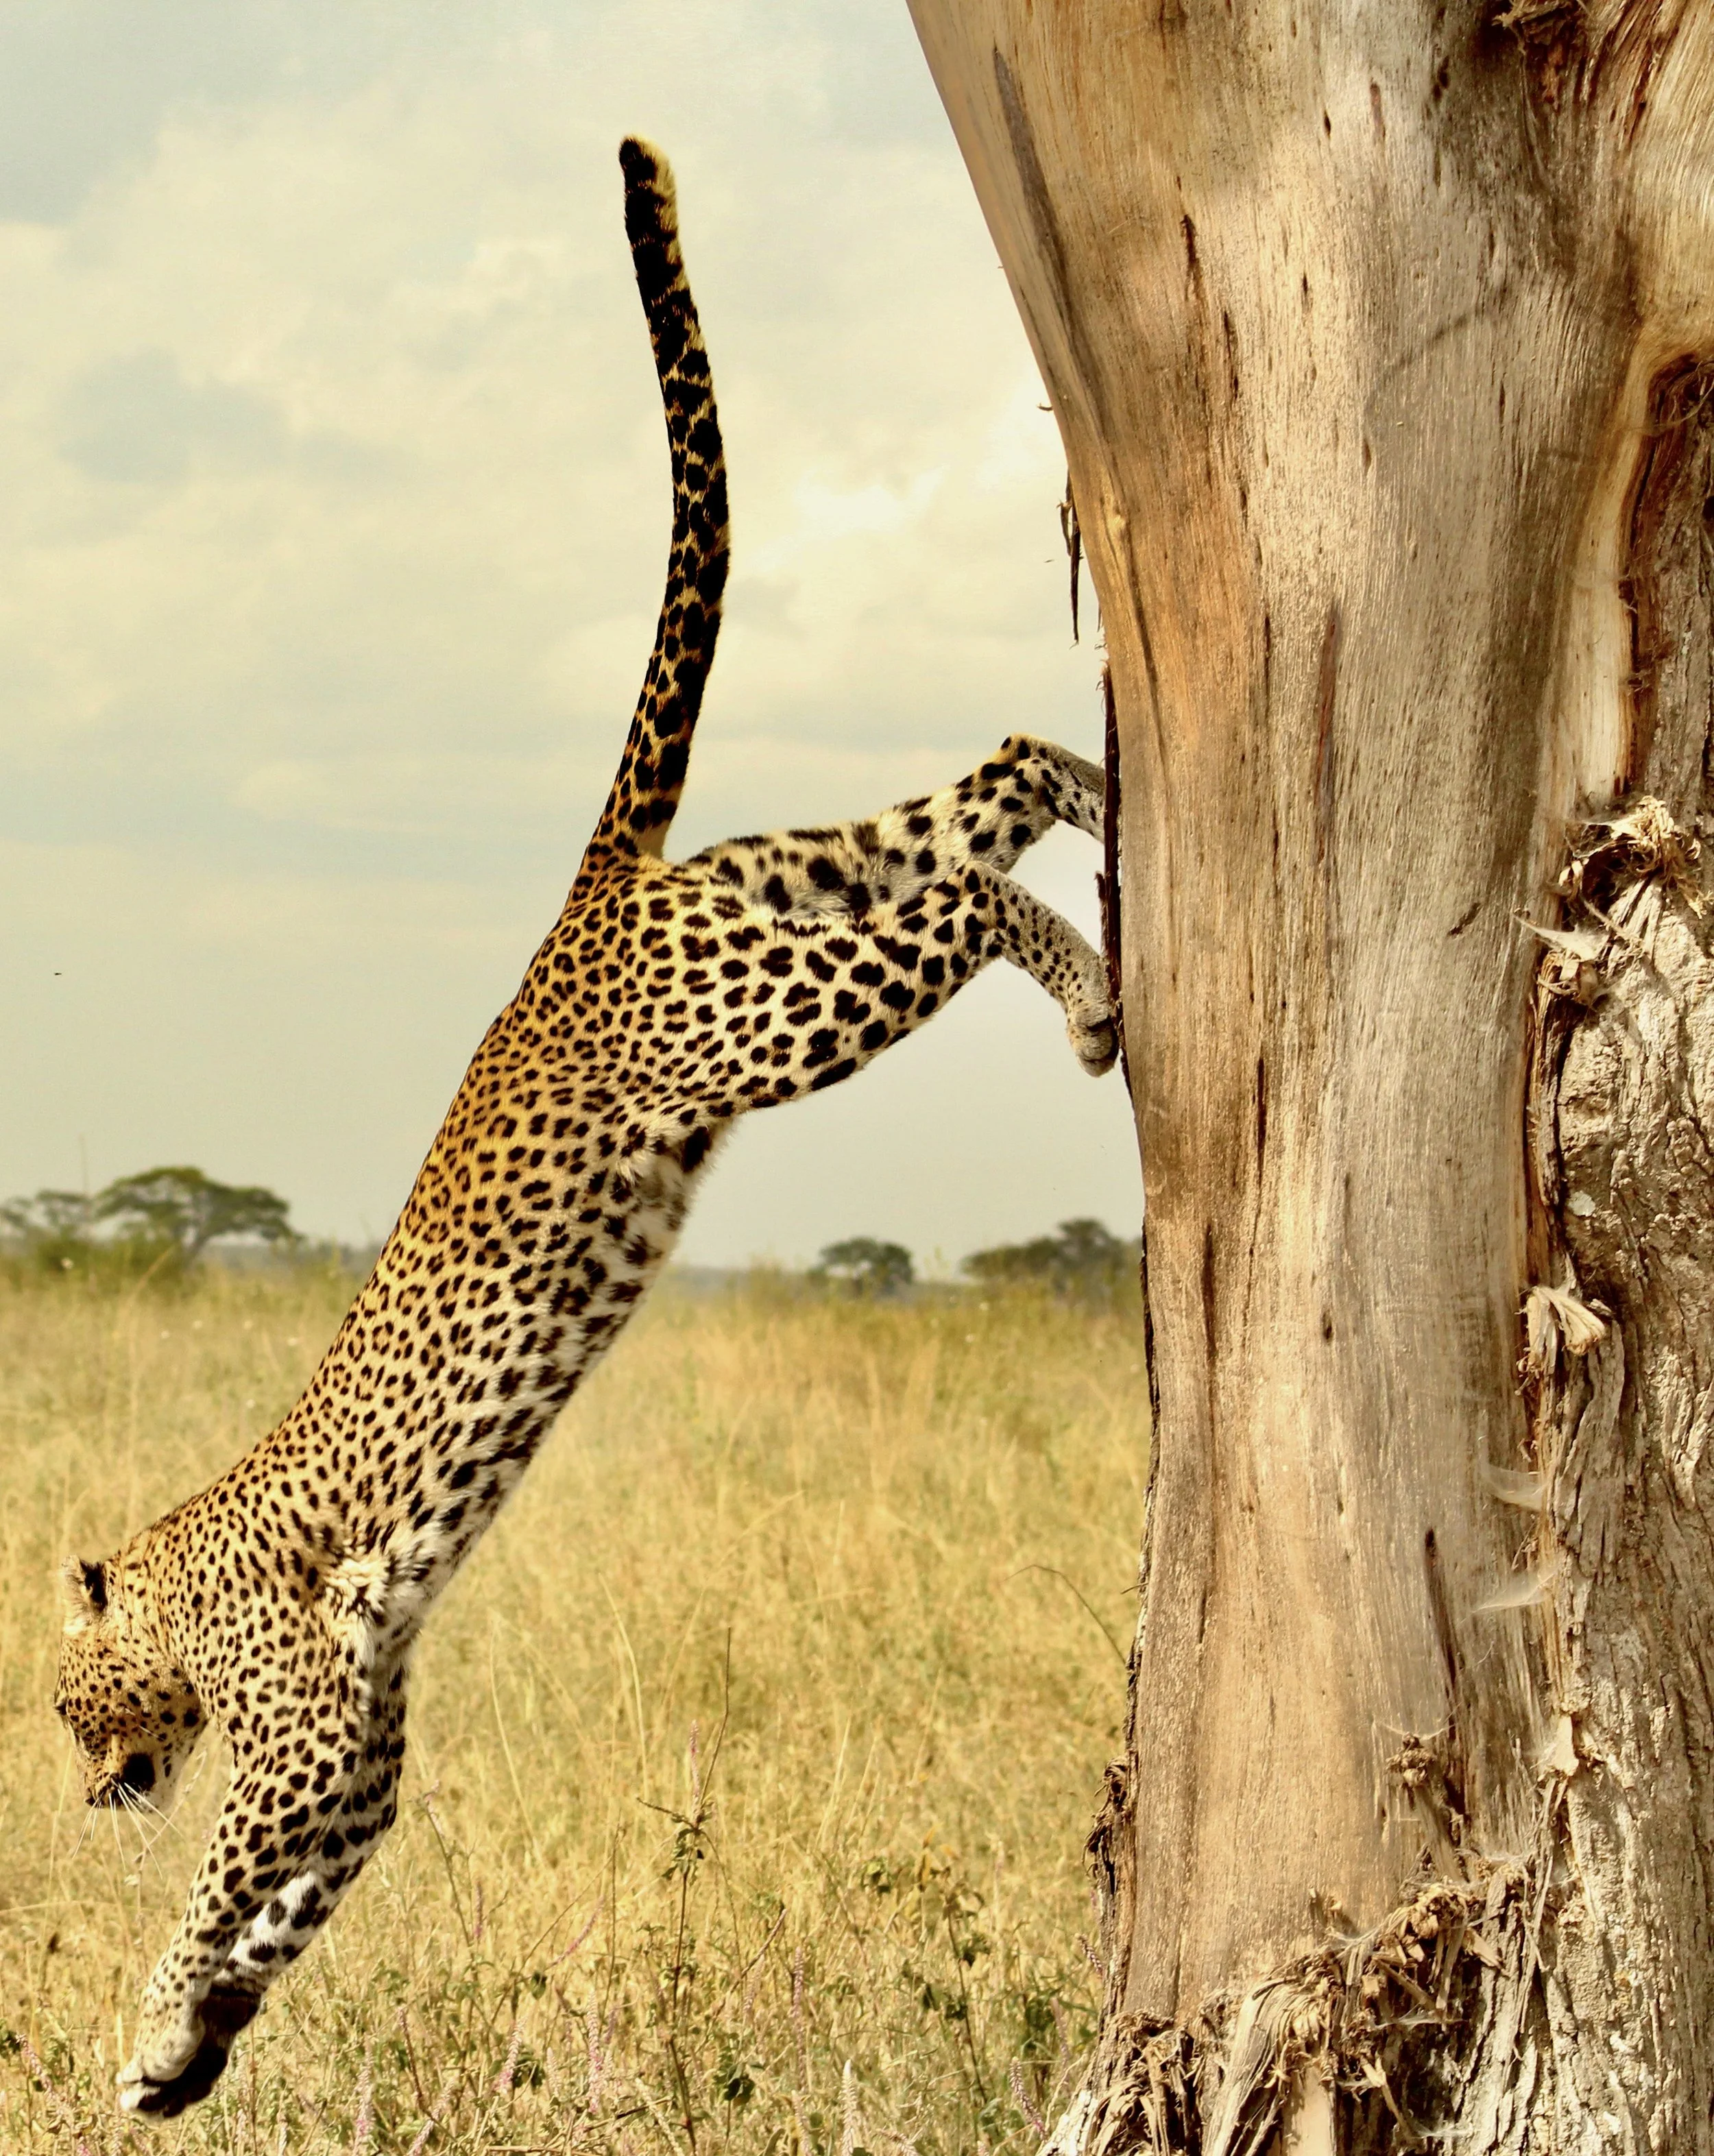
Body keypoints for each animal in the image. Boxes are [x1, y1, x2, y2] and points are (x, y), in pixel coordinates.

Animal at [54, 136, 1117, 2119]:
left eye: (70, 1704)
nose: (91, 1793)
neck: (178, 1577)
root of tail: (591, 899)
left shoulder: (299, 1726)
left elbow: (225, 1880)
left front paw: (152, 2018)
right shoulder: (363, 1751)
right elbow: (283, 1916)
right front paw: (191, 2048)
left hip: (776, 1012)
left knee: (967, 882)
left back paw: (1100, 977)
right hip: (798, 891)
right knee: (989, 781)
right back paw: (1116, 821)